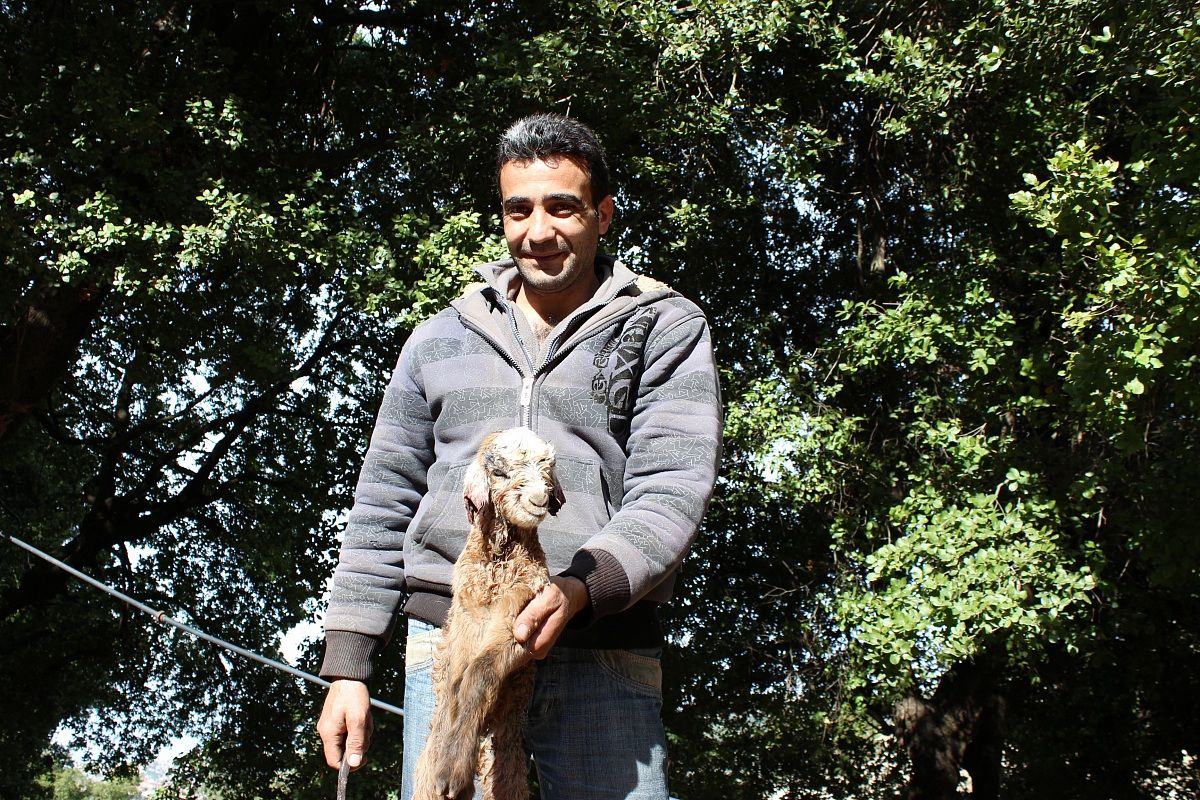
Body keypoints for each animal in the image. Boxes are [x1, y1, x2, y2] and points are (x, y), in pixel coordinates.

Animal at [412, 427, 564, 800]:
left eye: (548, 468)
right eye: (499, 472)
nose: (539, 500)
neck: (498, 561)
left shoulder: (519, 616)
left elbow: (478, 674)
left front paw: (451, 771)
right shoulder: (466, 615)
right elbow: (455, 682)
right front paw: (446, 763)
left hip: (506, 758)